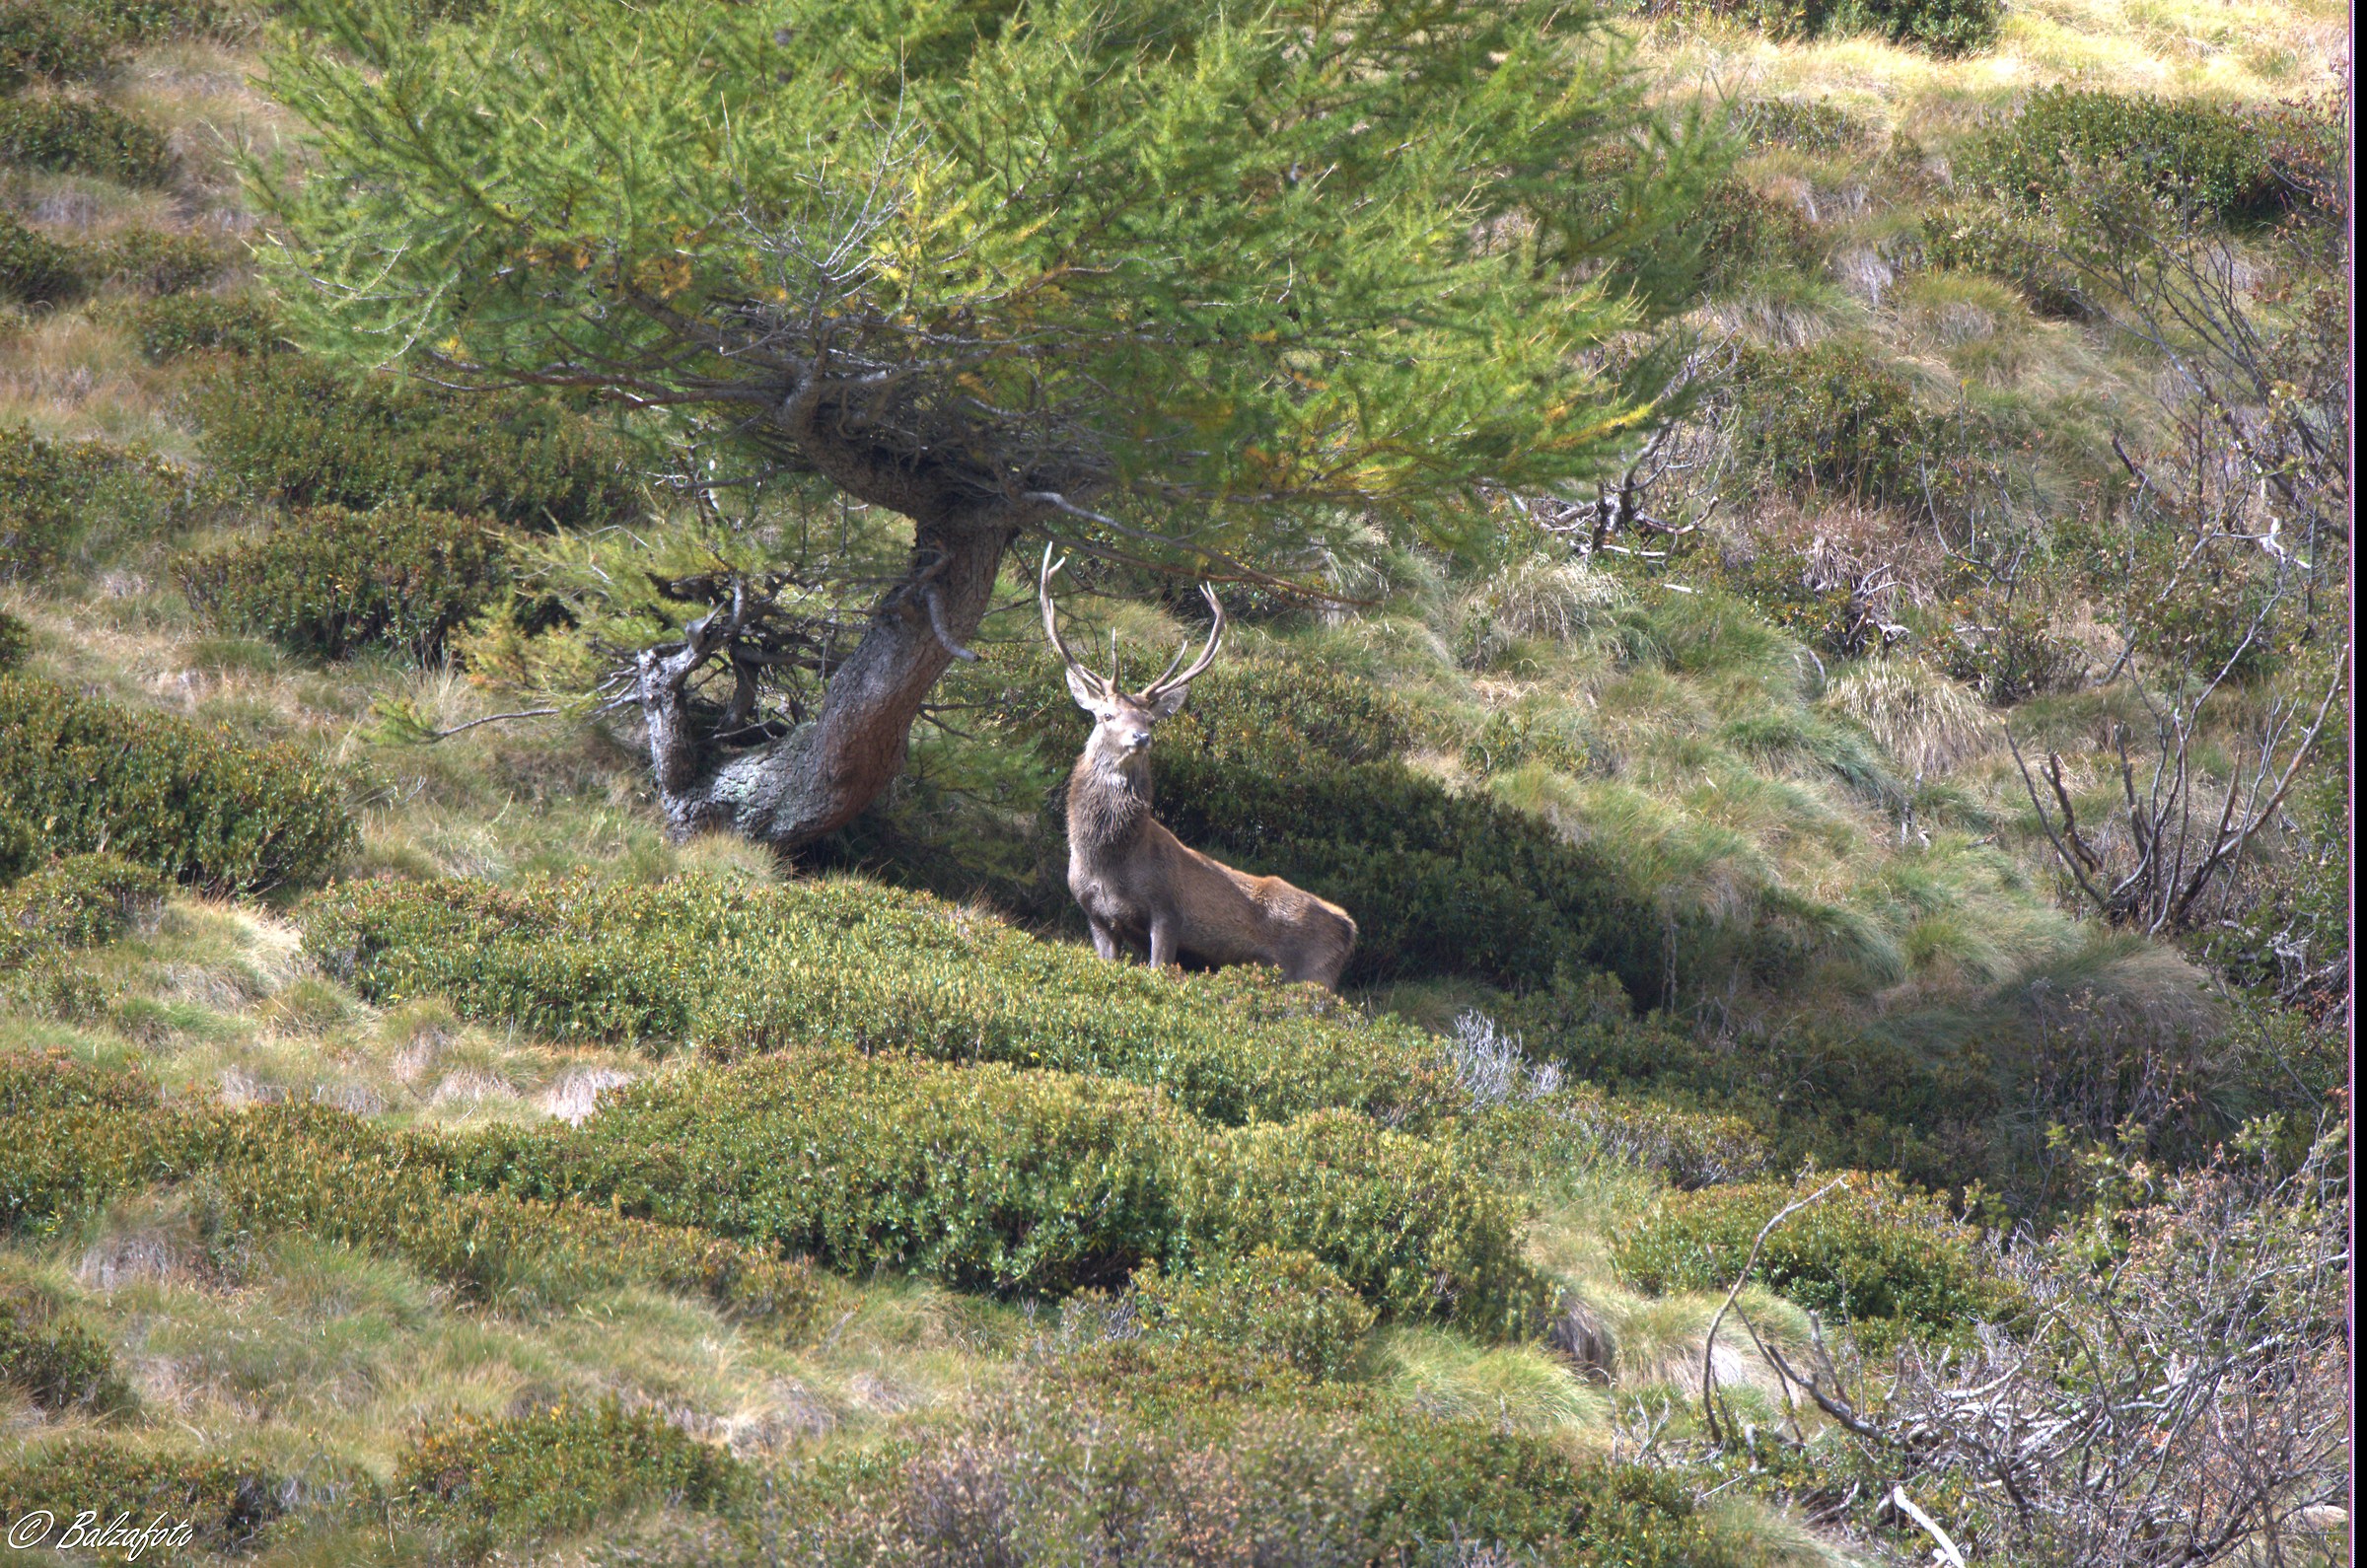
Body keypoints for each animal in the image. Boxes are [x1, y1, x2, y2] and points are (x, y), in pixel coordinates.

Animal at [1039, 546, 1357, 991]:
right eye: (1106, 715)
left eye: (1150, 719)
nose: (1141, 738)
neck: (1108, 864)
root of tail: (1350, 929)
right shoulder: (1096, 916)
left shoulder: (1168, 910)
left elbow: (1159, 968)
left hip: (1316, 975)